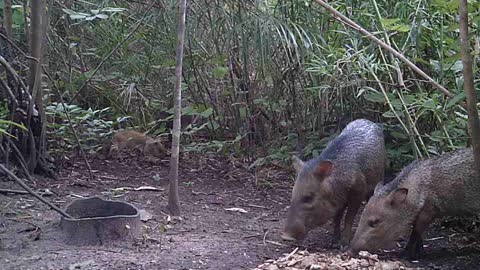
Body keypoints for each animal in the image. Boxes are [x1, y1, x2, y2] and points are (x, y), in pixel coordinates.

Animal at [348, 149, 480, 258]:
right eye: (361, 217)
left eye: (374, 222)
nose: (348, 252)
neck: (418, 191)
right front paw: (418, 253)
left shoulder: (428, 212)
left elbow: (415, 232)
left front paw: (406, 255)